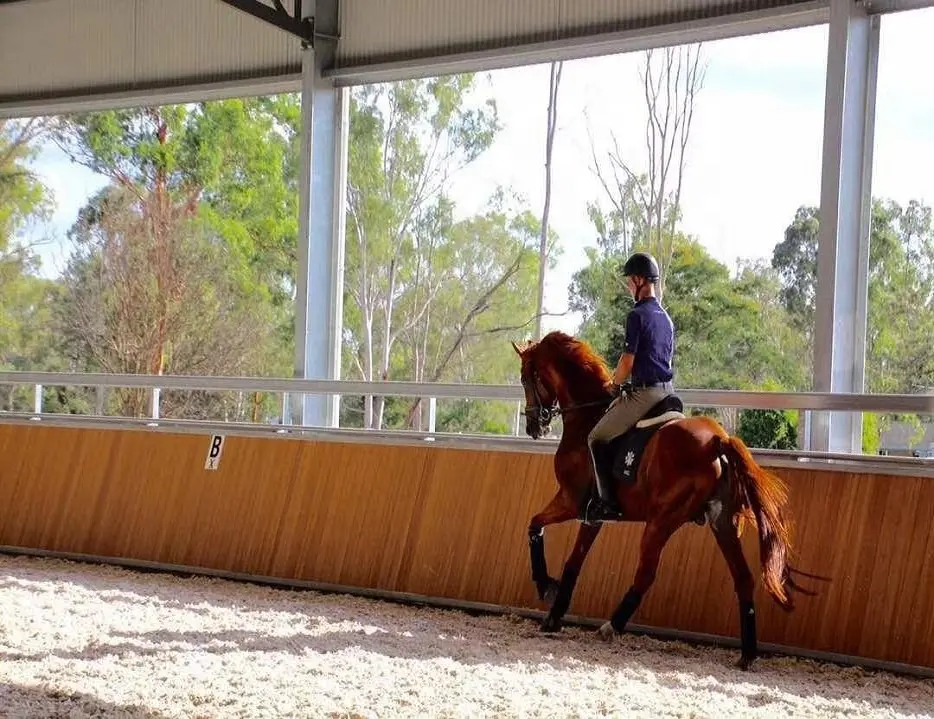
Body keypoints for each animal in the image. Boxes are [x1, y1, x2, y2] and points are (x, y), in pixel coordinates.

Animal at [512, 332, 820, 668]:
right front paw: (554, 615)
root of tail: (717, 440)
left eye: (525, 378)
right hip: (722, 523)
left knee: (646, 574)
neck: (587, 415)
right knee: (743, 578)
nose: (533, 426)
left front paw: (546, 587)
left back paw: (611, 626)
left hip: (661, 521)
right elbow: (573, 560)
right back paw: (747, 654)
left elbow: (535, 527)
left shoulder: (571, 501)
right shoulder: (592, 516)